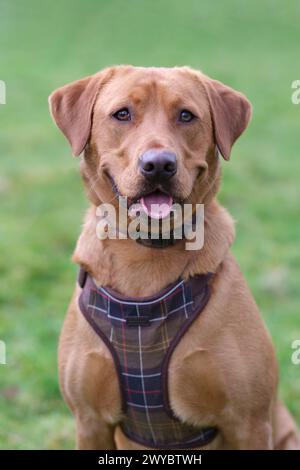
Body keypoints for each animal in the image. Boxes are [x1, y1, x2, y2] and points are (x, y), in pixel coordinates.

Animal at [49, 65, 300, 448]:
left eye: (186, 115)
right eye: (122, 114)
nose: (158, 165)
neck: (145, 258)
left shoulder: (249, 422)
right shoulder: (90, 421)